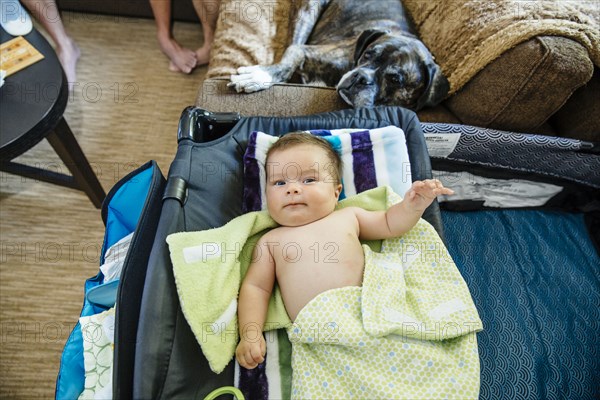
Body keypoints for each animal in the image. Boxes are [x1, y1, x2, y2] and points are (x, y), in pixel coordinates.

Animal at [227, 0, 448, 110]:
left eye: (395, 79)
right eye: (367, 55)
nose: (359, 77)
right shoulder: (305, 50)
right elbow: (289, 59)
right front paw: (259, 76)